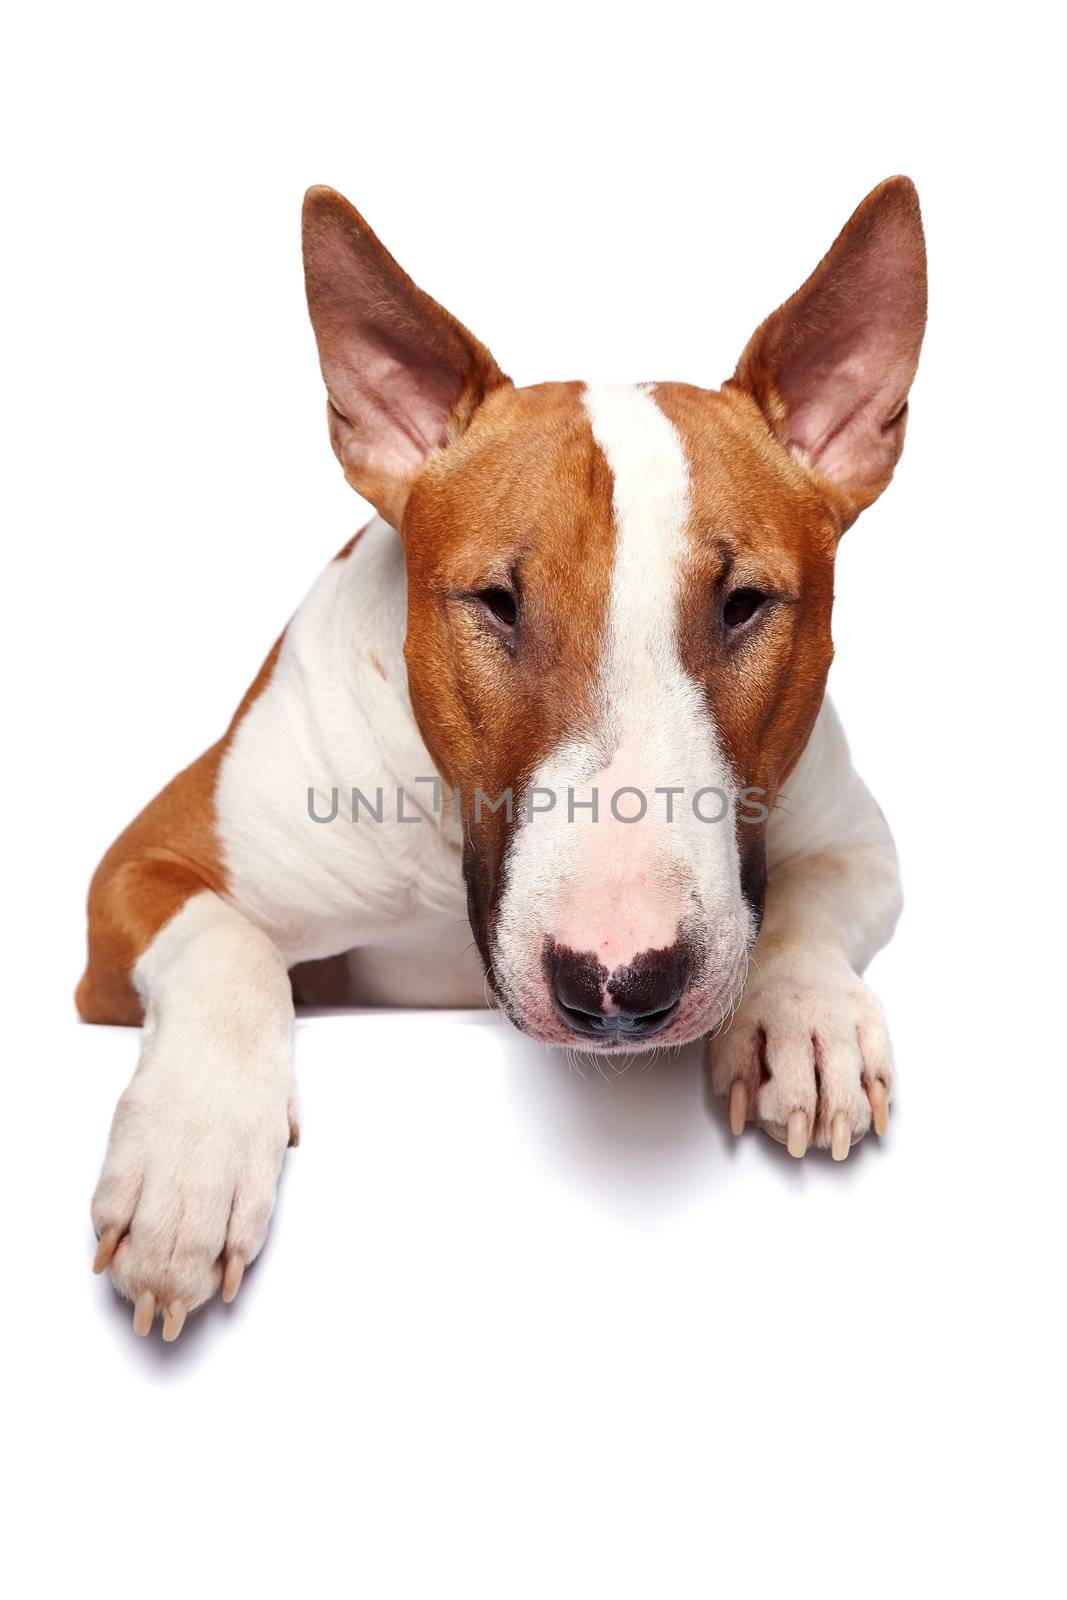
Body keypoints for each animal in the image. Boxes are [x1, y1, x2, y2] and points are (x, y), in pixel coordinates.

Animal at [79, 175, 927, 1337]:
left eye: (744, 603)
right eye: (495, 600)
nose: (618, 986)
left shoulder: (855, 837)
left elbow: (805, 898)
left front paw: (803, 1019)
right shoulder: (136, 871)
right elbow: (224, 942)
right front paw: (188, 1164)